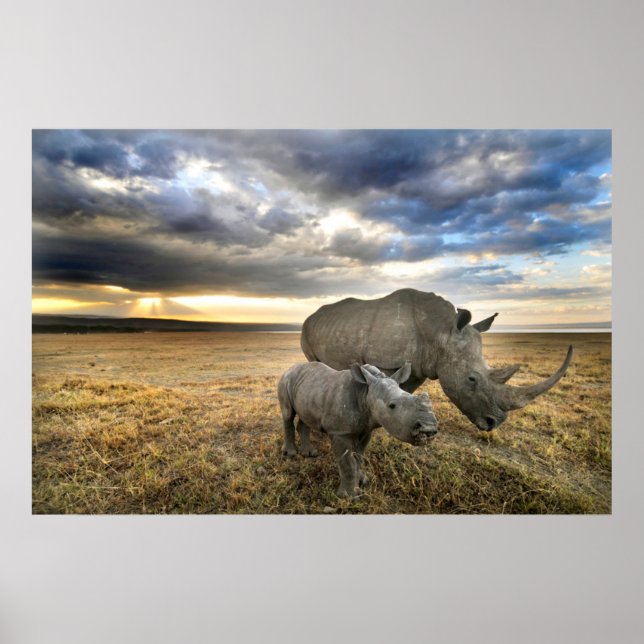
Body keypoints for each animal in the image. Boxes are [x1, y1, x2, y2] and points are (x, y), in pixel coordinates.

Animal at [277, 361, 438, 498]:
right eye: (392, 406)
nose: (429, 428)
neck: (365, 391)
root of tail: (291, 368)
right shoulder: (340, 431)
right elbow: (347, 462)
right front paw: (348, 496)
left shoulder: (366, 429)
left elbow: (359, 456)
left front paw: (362, 481)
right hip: (285, 380)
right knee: (288, 414)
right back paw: (290, 454)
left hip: (308, 388)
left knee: (305, 416)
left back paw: (309, 454)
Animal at [300, 288, 573, 432]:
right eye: (472, 379)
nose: (493, 423)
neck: (440, 332)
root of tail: (311, 315)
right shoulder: (385, 361)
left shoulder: (419, 366)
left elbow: (404, 392)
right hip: (306, 329)